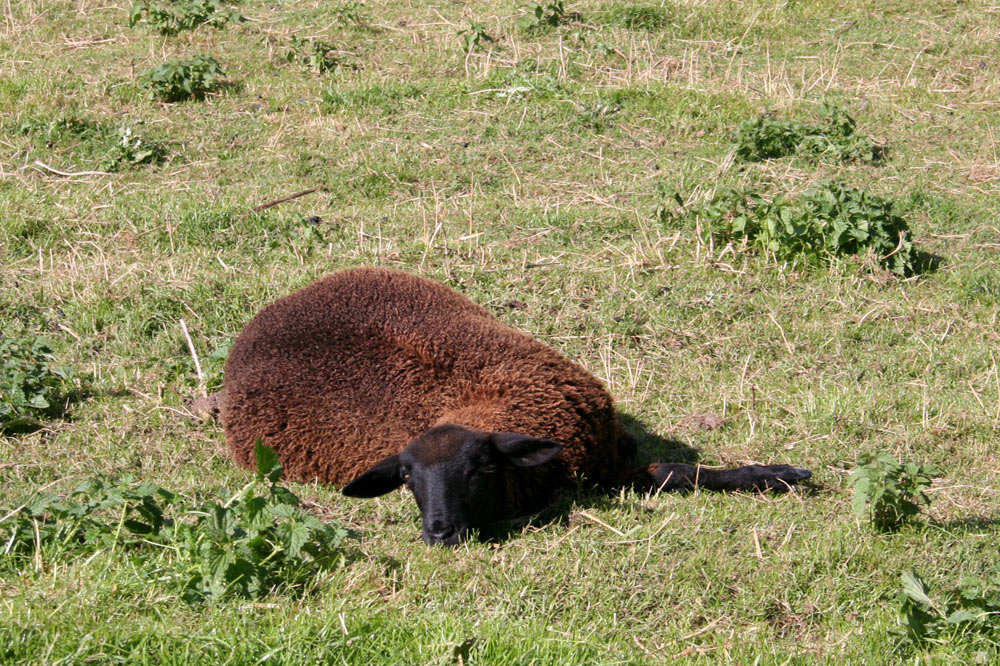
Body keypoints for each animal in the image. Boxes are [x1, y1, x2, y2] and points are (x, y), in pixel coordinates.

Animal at [221, 264, 812, 540]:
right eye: (406, 478)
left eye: (482, 467)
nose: (439, 533)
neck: (484, 398)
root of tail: (260, 322)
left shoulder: (610, 456)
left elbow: (676, 472)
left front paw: (777, 474)